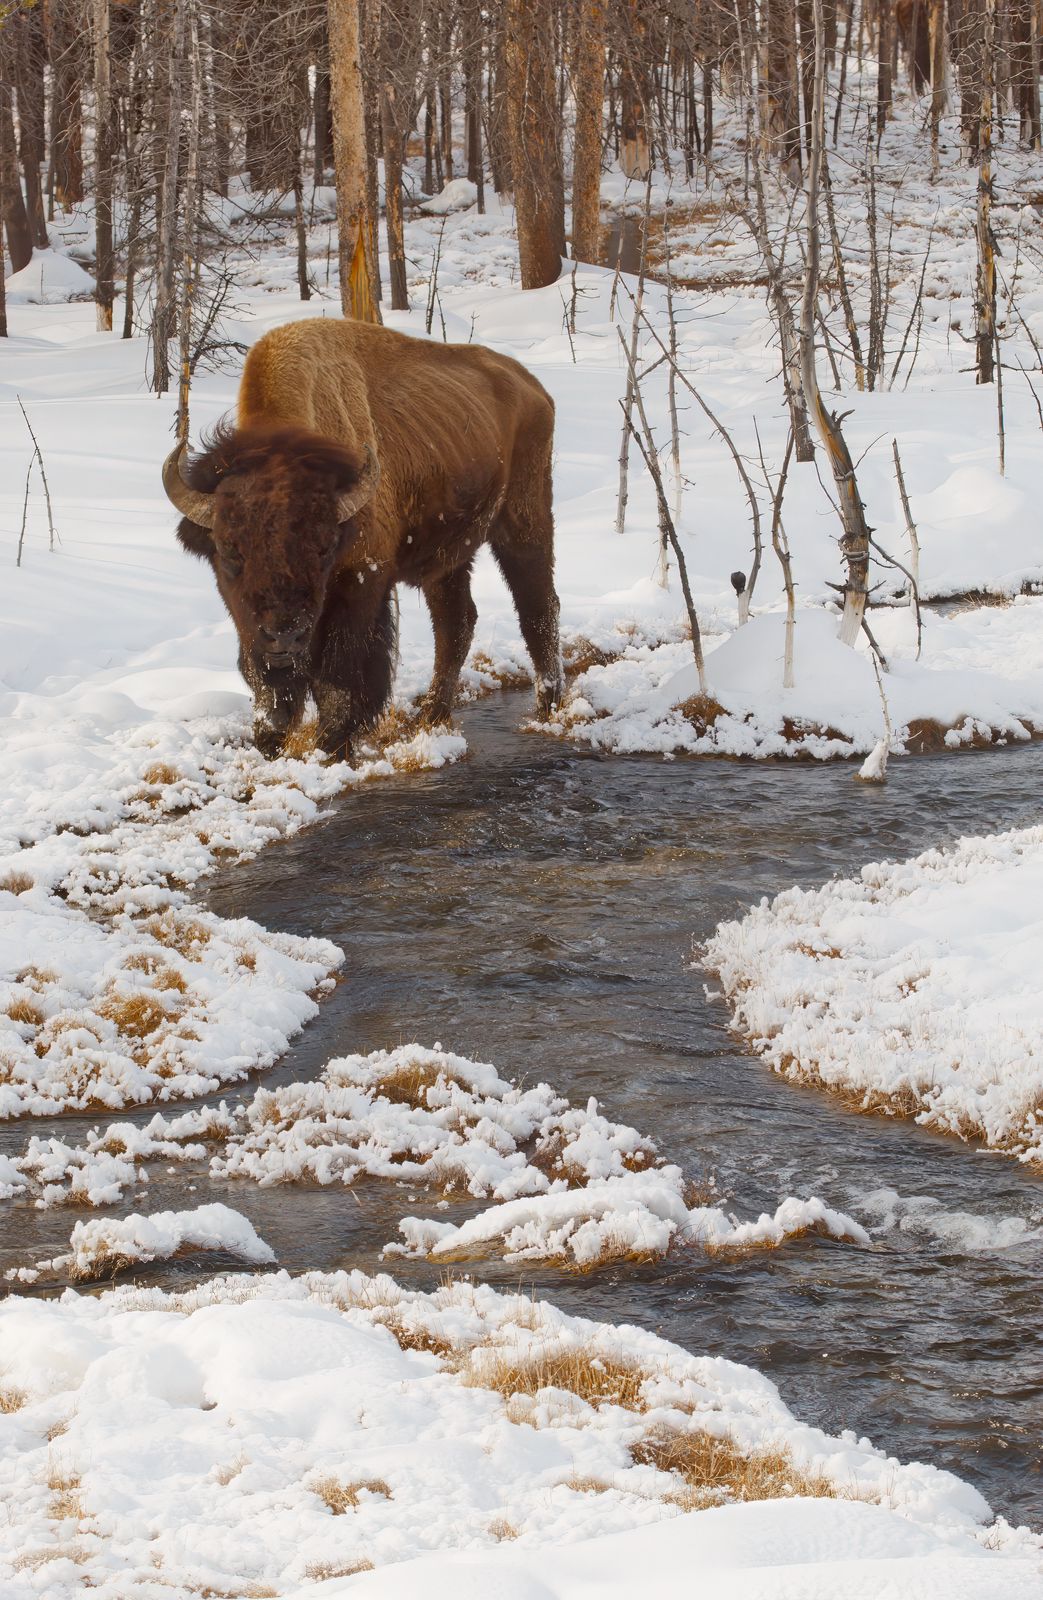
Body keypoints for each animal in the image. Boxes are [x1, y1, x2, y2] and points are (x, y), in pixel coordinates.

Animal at [163, 317, 563, 759]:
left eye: (324, 548)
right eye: (229, 550)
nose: (284, 634)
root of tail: (533, 387)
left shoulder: (361, 581)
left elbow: (339, 676)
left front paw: (331, 744)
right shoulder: (250, 625)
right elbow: (263, 677)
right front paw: (269, 740)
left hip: (524, 519)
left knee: (537, 606)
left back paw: (548, 708)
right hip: (450, 557)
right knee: (456, 623)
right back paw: (431, 715)